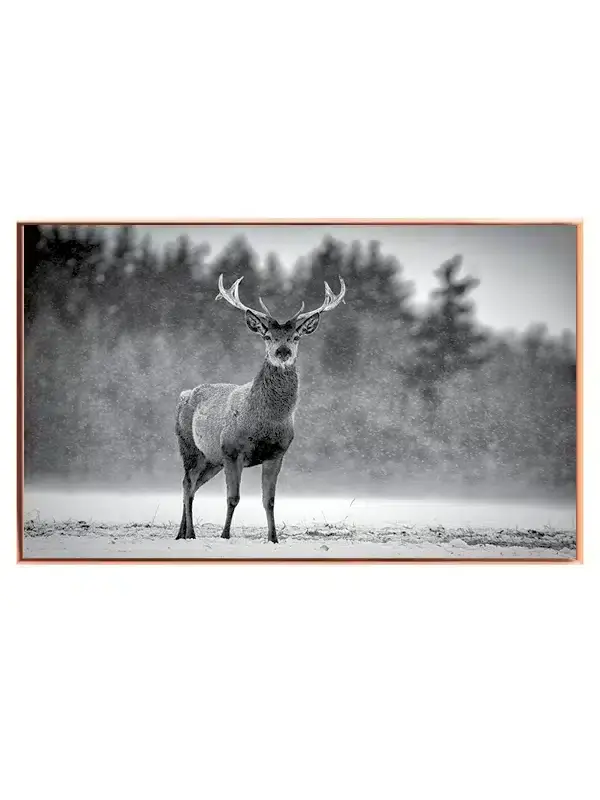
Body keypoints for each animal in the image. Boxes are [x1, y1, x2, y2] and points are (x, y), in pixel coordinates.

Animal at [175, 274, 347, 544]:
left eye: (295, 337)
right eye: (267, 336)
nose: (282, 352)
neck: (265, 422)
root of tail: (183, 394)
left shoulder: (277, 453)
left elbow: (270, 500)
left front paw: (273, 538)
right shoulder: (232, 450)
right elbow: (233, 498)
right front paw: (225, 535)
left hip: (211, 459)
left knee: (191, 485)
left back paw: (181, 533)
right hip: (190, 447)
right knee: (187, 485)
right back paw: (190, 534)